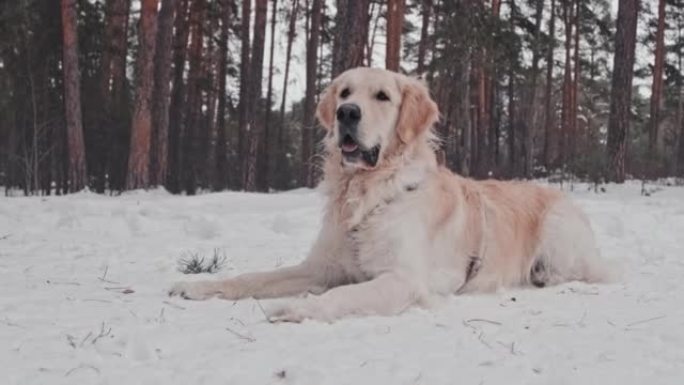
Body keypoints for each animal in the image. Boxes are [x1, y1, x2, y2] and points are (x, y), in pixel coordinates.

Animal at [168, 67, 608, 320]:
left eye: (382, 96)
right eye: (345, 93)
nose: (346, 113)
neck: (367, 192)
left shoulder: (402, 279)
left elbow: (344, 295)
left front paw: (299, 307)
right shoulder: (319, 267)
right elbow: (253, 277)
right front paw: (197, 286)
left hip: (558, 229)